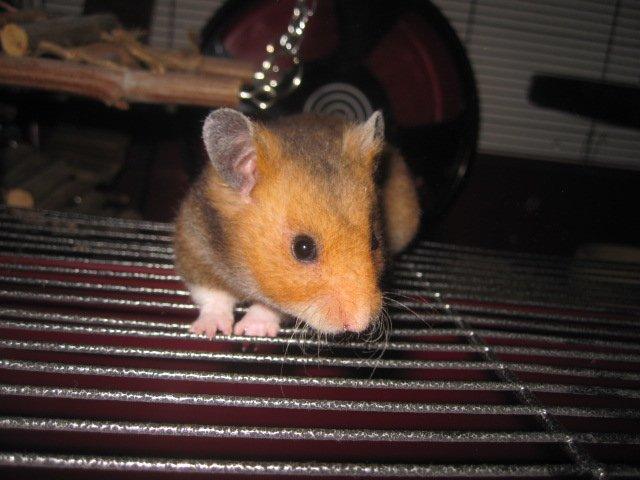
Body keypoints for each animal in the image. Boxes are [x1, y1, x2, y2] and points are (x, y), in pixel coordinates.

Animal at [174, 108, 420, 338]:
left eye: (375, 242)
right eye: (303, 248)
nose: (359, 326)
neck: (244, 272)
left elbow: (272, 308)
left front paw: (251, 330)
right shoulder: (193, 243)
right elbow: (212, 294)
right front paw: (210, 330)